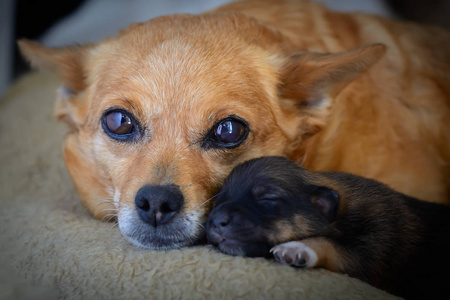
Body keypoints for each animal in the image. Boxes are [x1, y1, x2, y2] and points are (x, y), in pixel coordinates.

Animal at [207, 156, 450, 298]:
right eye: (218, 202)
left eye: (268, 198)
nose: (214, 220)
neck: (341, 214)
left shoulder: (375, 248)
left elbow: (335, 247)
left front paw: (297, 248)